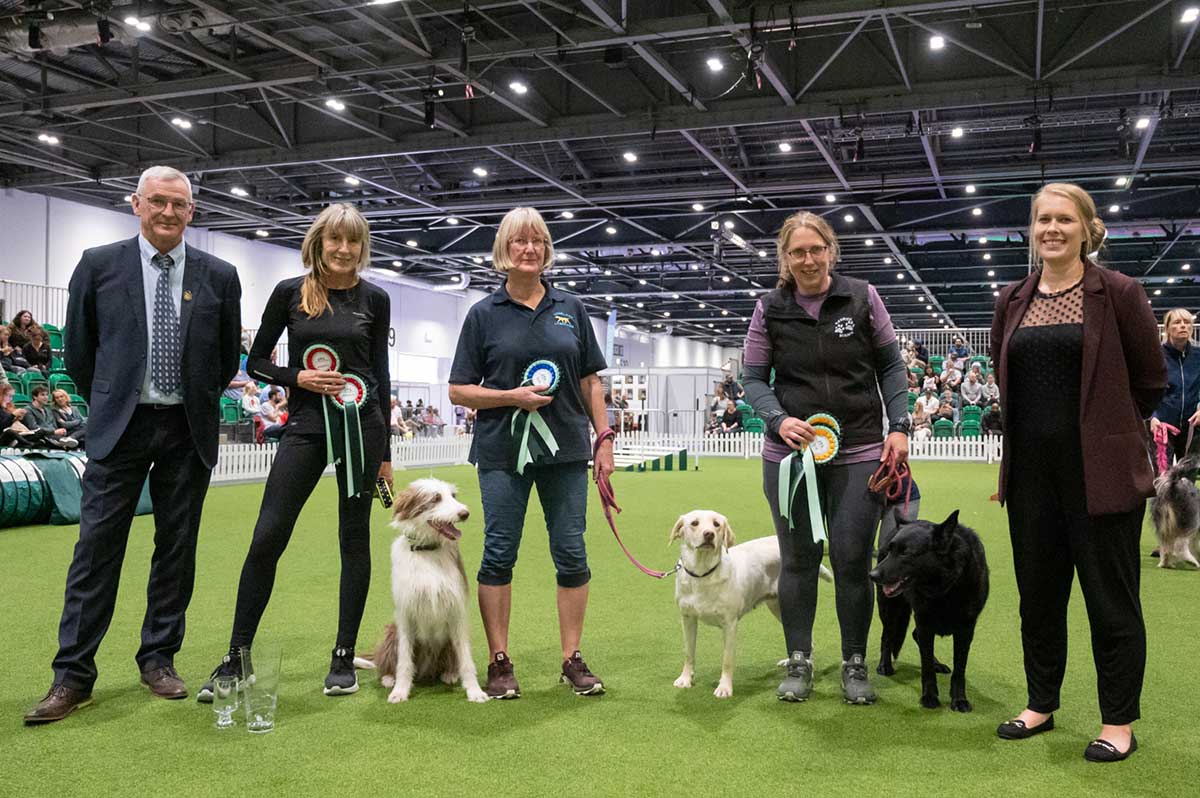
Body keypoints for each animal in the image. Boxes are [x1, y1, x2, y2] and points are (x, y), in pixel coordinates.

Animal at [355, 475, 487, 700]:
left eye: (453, 496)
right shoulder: (405, 612)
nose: (465, 513)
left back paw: (450, 674)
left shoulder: (457, 610)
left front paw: (475, 691)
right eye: (435, 498)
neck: (427, 552)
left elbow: (466, 660)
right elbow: (404, 661)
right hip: (391, 631)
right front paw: (400, 691)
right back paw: (388, 678)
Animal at [868, 513, 988, 710]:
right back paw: (885, 666)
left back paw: (936, 663)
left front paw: (959, 699)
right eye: (891, 550)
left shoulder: (966, 630)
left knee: (914, 636)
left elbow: (959, 669)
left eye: (905, 552)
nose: (872, 575)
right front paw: (929, 697)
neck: (945, 589)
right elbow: (926, 668)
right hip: (889, 608)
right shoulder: (924, 623)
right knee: (887, 636)